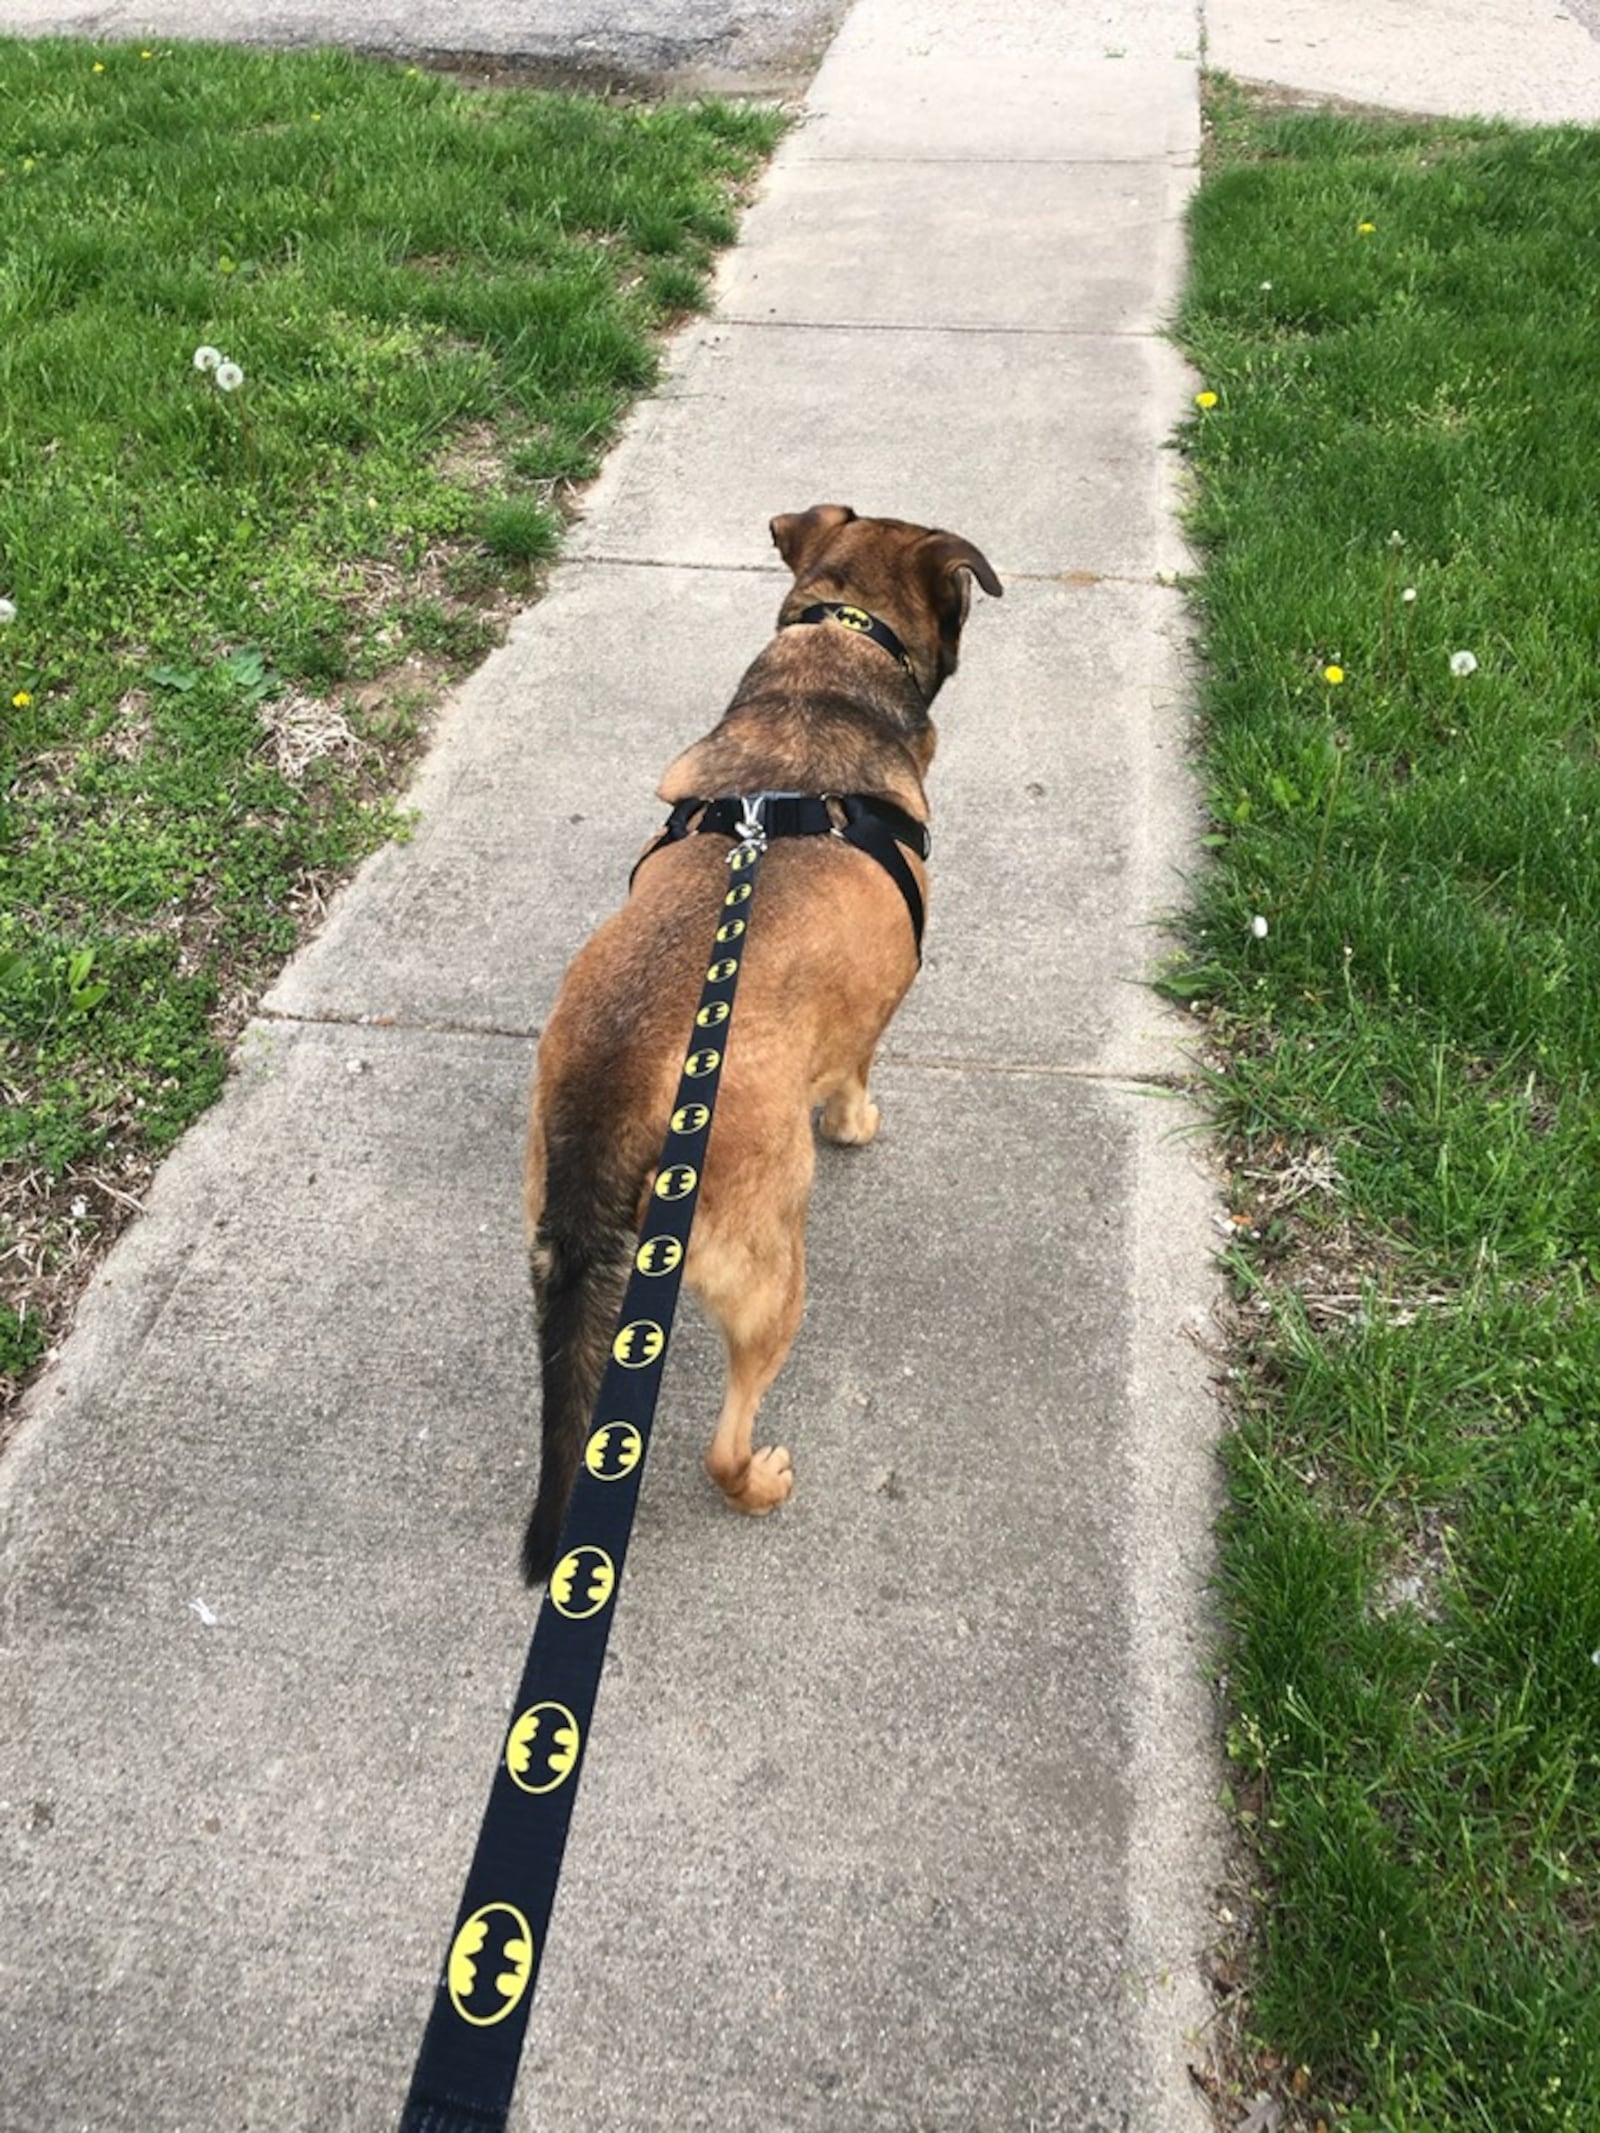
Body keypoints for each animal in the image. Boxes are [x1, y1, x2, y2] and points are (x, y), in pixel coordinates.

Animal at [522, 503, 1002, 1586]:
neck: (829, 663)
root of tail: (612, 1096)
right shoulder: (870, 1016)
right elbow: (856, 1077)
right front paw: (858, 1123)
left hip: (567, 1265)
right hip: (771, 1275)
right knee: (722, 1443)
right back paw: (758, 1483)